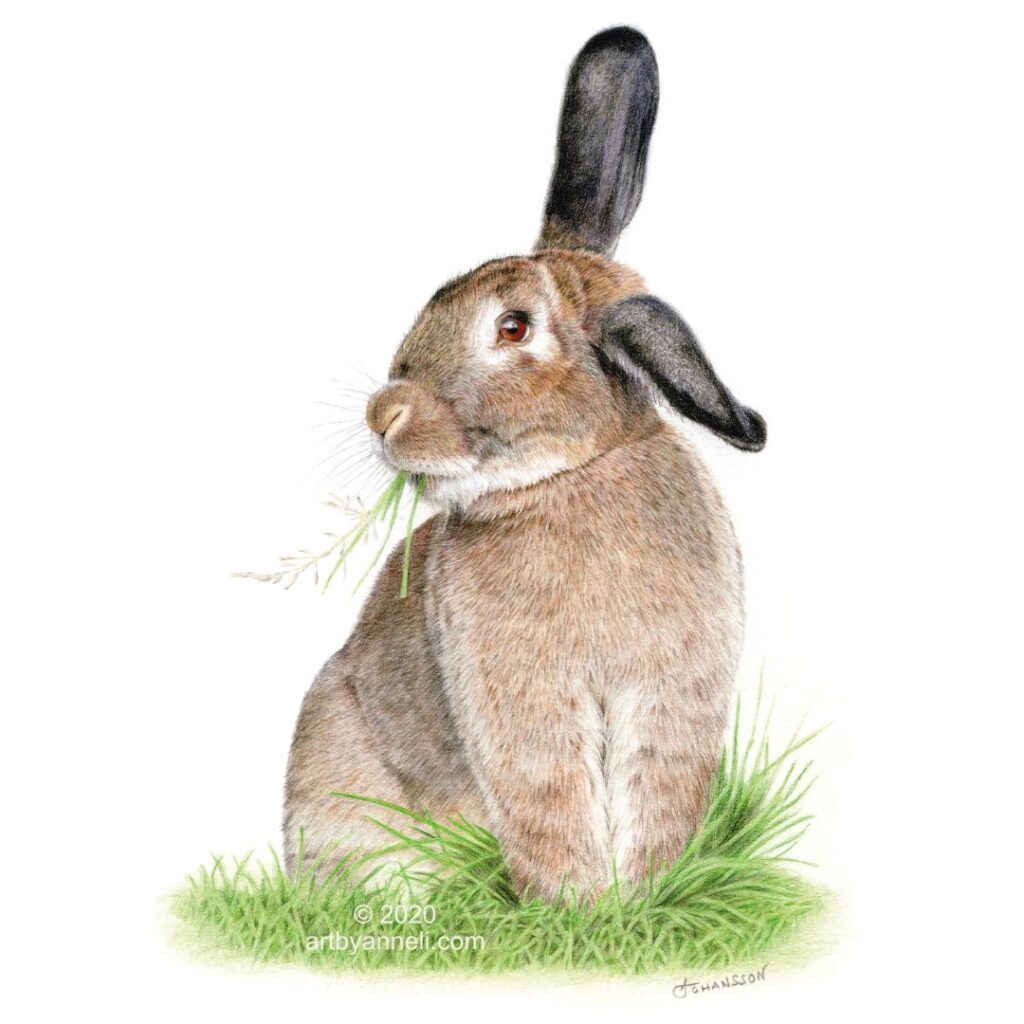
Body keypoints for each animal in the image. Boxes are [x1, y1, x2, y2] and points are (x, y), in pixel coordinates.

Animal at [283, 26, 766, 903]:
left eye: (513, 327)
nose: (384, 414)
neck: (572, 477)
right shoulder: (524, 707)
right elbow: (553, 807)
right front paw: (581, 912)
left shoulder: (670, 698)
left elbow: (653, 801)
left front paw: (638, 903)